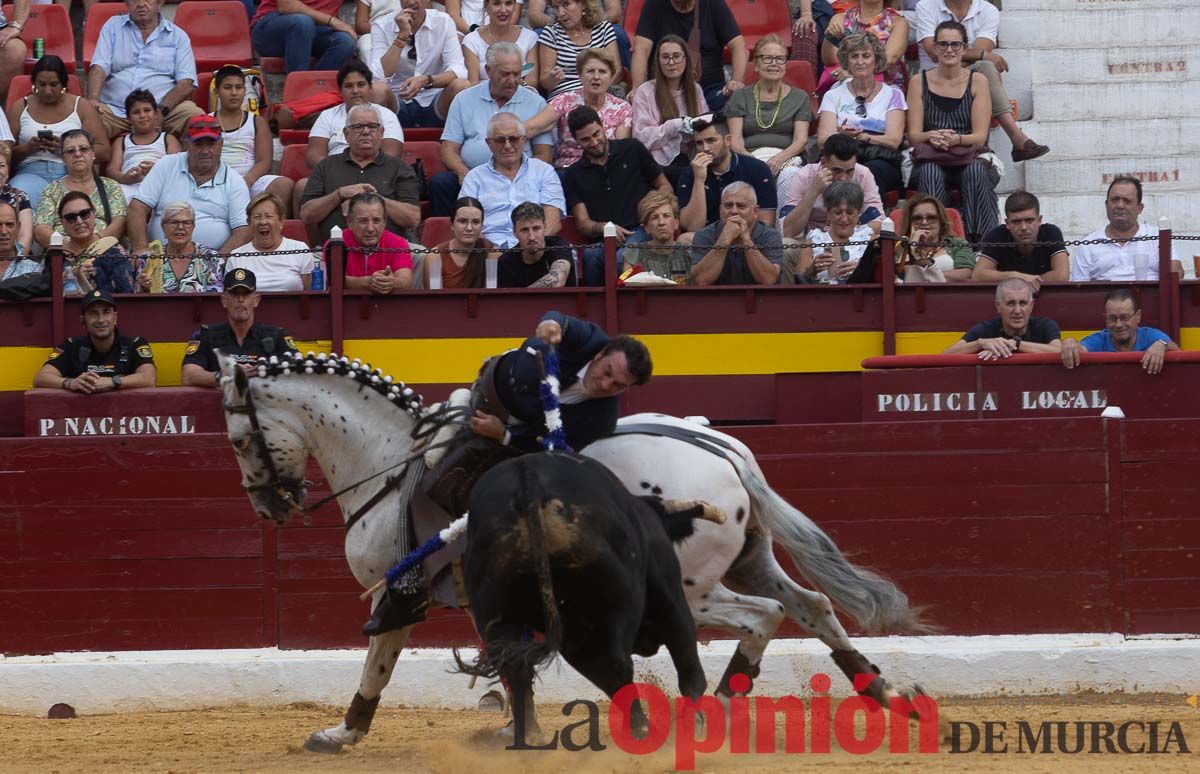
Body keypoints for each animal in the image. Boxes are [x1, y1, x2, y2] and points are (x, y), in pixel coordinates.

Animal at [451, 453, 715, 744]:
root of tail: (528, 484)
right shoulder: (670, 598)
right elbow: (689, 668)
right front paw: (696, 724)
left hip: (501, 615)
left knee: (518, 669)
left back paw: (529, 738)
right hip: (611, 603)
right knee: (617, 664)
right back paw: (643, 730)